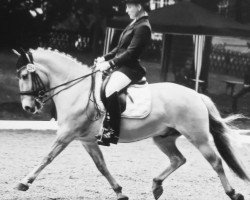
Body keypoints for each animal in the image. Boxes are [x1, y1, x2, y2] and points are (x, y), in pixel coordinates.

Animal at [14, 48, 250, 200]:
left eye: (25, 75)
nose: (27, 107)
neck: (77, 90)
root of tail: (196, 94)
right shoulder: (86, 140)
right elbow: (101, 166)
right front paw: (120, 192)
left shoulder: (66, 135)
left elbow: (47, 158)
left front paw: (24, 182)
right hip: (163, 138)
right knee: (178, 159)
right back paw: (156, 186)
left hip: (197, 136)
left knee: (216, 162)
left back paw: (233, 193)